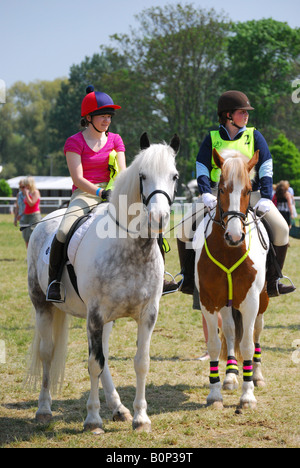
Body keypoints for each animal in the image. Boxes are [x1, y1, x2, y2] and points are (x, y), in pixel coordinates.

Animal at [195, 148, 270, 408]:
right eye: (221, 189)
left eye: (247, 190)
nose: (235, 236)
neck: (229, 252)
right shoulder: (209, 301)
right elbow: (214, 344)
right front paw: (215, 393)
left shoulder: (250, 302)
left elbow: (247, 344)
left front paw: (247, 396)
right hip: (226, 303)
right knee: (228, 331)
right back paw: (230, 376)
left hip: (261, 302)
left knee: (256, 333)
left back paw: (256, 375)